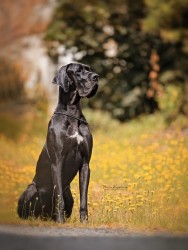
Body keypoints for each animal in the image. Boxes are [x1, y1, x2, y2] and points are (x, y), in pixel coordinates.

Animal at [17, 63, 98, 223]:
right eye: (79, 71)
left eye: (89, 69)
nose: (96, 77)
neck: (72, 113)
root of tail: (45, 217)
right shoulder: (57, 162)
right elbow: (58, 195)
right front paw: (61, 221)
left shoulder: (85, 164)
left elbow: (83, 197)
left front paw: (84, 220)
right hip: (31, 189)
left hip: (69, 193)